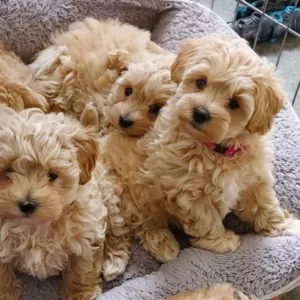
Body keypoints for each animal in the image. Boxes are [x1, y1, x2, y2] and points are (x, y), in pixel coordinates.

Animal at [0, 106, 124, 298]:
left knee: (117, 230)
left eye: (52, 175)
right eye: (8, 170)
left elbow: (81, 269)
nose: (27, 205)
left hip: (108, 198)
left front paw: (79, 295)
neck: (36, 226)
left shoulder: (86, 235)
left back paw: (114, 261)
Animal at [142, 35, 300, 255]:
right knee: (148, 221)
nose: (200, 112)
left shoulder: (255, 177)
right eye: (201, 82)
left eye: (234, 103)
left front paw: (283, 226)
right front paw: (222, 242)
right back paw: (162, 243)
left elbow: (265, 204)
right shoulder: (188, 192)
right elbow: (206, 219)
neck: (218, 150)